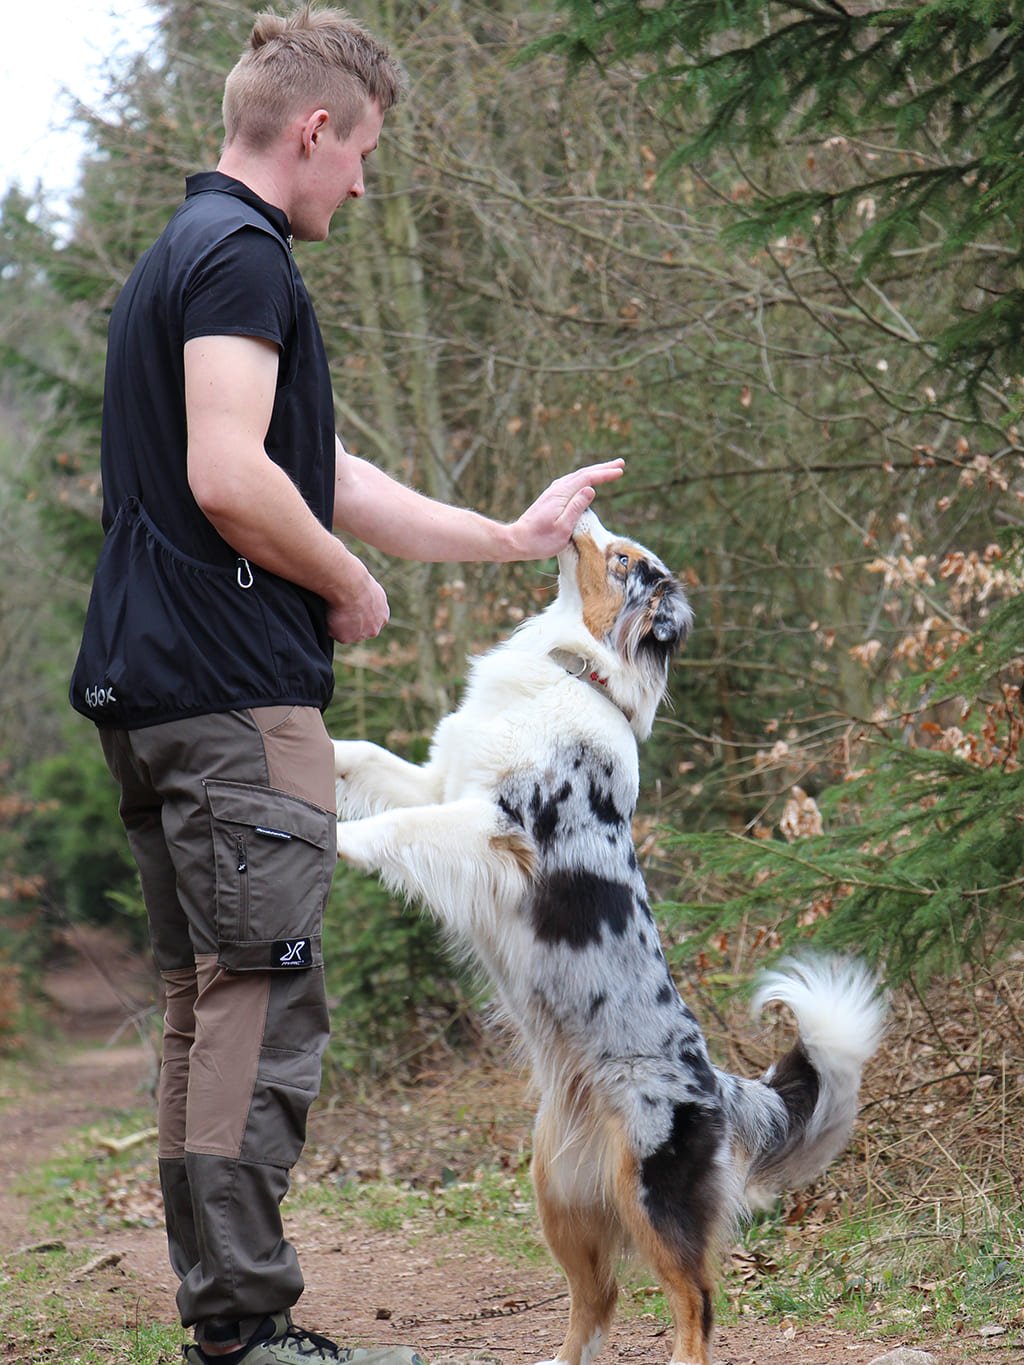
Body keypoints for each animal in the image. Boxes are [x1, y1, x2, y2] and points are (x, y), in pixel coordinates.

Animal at [333, 510, 884, 1365]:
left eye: (624, 558)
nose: (579, 509)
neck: (571, 670)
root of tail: (716, 1082)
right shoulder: (439, 782)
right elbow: (365, 762)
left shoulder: (499, 826)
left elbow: (392, 828)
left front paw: (327, 833)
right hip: (557, 1192)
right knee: (599, 1296)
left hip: (651, 1192)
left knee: (695, 1299)